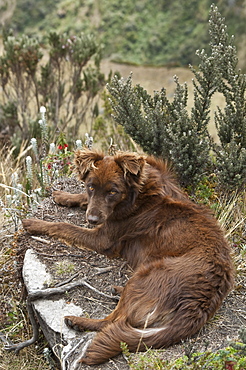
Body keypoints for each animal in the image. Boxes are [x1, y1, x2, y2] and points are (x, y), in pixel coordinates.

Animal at [22, 150, 234, 364]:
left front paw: (35, 223)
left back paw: (77, 321)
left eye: (112, 192)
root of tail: (200, 304)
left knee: (113, 321)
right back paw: (117, 290)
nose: (92, 220)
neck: (137, 194)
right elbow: (84, 200)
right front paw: (64, 196)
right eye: (91, 186)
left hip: (147, 274)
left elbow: (63, 226)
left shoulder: (103, 238)